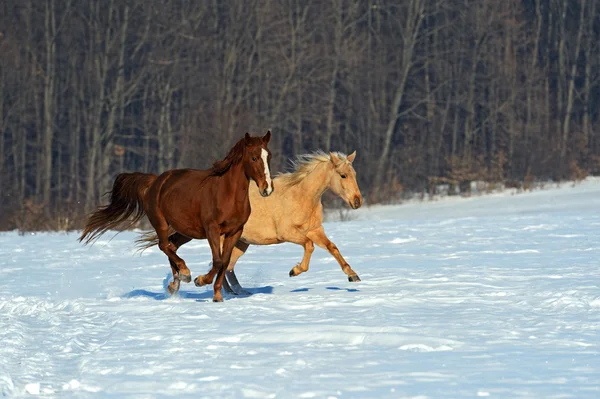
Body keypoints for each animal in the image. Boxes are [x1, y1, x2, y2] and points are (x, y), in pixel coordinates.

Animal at [79, 131, 274, 304]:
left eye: (269, 156)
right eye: (254, 158)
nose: (267, 189)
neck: (227, 194)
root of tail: (155, 181)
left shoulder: (235, 232)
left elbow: (225, 262)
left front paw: (217, 296)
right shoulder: (212, 229)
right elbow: (218, 261)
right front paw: (200, 280)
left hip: (186, 231)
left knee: (171, 246)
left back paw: (175, 283)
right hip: (161, 223)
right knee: (164, 245)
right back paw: (185, 273)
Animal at [139, 152, 360, 296]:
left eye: (354, 174)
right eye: (343, 175)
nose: (357, 202)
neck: (301, 195)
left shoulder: (314, 229)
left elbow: (332, 247)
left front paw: (353, 275)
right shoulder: (287, 233)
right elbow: (309, 246)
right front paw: (294, 271)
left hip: (232, 240)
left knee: (221, 263)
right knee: (215, 261)